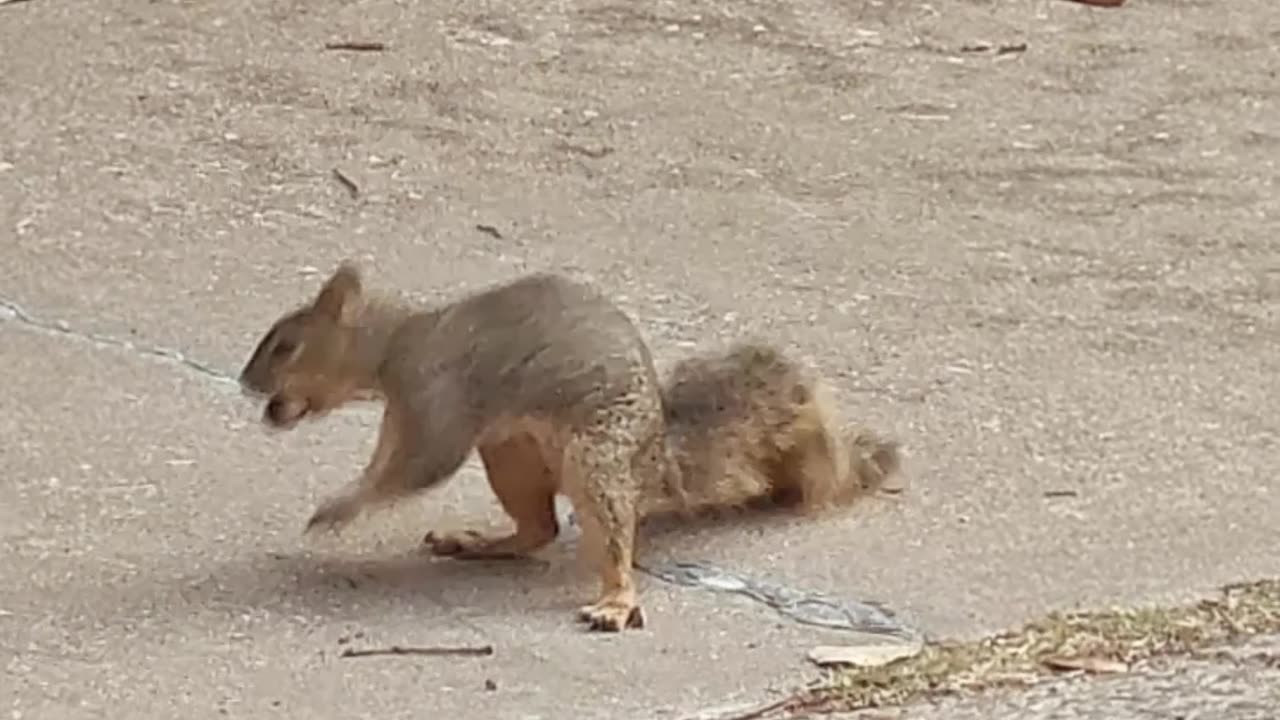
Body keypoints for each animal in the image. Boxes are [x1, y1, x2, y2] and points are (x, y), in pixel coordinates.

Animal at [238, 263, 901, 633]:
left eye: (286, 346)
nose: (247, 383)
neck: (392, 345)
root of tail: (652, 456)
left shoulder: (437, 395)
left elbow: (419, 466)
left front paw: (338, 508)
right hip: (512, 456)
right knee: (538, 529)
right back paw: (478, 542)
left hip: (596, 459)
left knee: (600, 536)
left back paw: (614, 602)